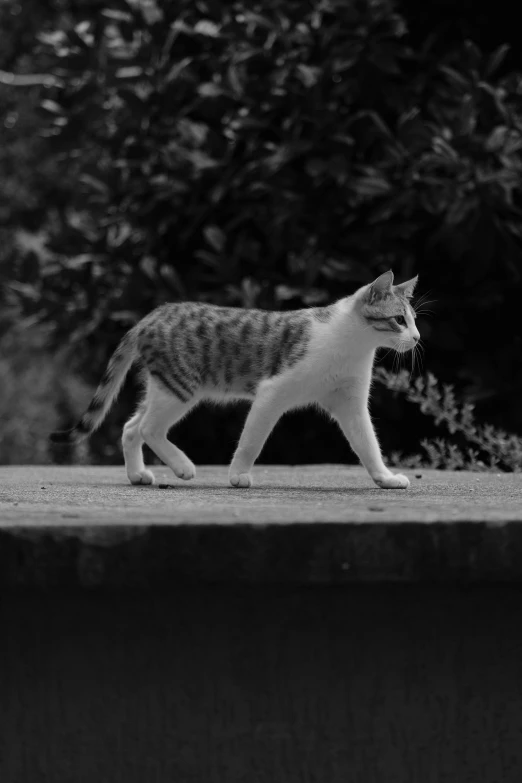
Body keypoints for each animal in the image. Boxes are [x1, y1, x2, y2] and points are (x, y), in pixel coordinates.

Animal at [49, 270, 418, 490]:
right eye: (399, 320)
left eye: (413, 320)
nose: (416, 338)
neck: (352, 345)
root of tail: (152, 315)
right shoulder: (272, 393)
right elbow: (252, 440)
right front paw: (238, 475)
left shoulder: (350, 403)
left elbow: (367, 443)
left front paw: (385, 478)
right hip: (180, 387)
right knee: (149, 428)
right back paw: (182, 466)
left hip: (162, 387)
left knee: (131, 427)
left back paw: (138, 475)